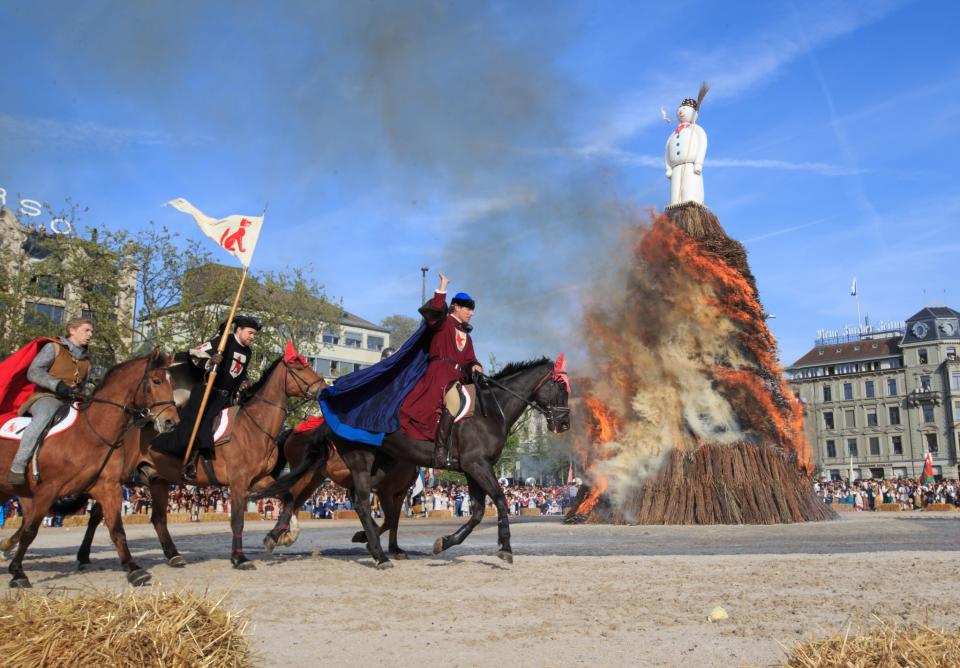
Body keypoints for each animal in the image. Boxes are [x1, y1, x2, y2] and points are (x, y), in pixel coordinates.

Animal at [0, 348, 178, 588]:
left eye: (172, 382)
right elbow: (30, 530)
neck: (89, 432)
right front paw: (18, 573)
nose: (171, 422)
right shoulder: (48, 490)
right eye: (156, 380)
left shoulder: (107, 487)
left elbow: (116, 529)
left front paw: (133, 569)